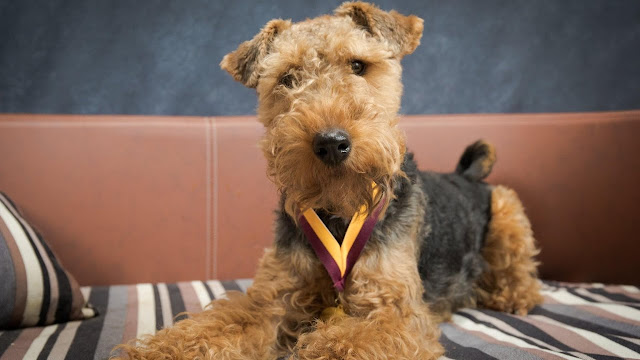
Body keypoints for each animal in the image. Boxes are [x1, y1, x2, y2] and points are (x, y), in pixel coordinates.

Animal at [117, 1, 544, 358]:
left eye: (358, 65)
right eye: (287, 78)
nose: (332, 143)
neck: (339, 213)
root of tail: (465, 174)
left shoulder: (394, 311)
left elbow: (340, 343)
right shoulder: (271, 297)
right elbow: (214, 325)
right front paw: (160, 350)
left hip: (507, 208)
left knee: (521, 275)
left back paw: (507, 295)